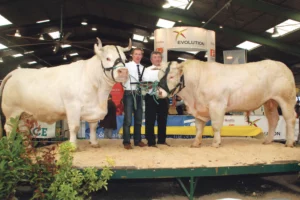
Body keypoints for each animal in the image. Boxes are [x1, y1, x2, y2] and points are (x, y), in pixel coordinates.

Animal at [0, 37, 131, 148]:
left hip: (25, 113)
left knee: (23, 130)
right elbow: (74, 127)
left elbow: (93, 127)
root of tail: (15, 72)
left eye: (125, 60)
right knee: (9, 128)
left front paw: (94, 143)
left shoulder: (93, 110)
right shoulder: (72, 106)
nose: (123, 71)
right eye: (108, 58)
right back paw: (10, 148)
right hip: (11, 111)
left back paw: (27, 148)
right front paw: (72, 146)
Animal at [158, 59, 296, 147]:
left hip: (286, 99)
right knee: (273, 119)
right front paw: (196, 143)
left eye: (171, 76)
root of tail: (282, 65)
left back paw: (289, 142)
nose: (159, 92)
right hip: (270, 102)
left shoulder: (217, 105)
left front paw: (216, 143)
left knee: (290, 119)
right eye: (159, 75)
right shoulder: (199, 108)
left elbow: (215, 126)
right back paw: (268, 141)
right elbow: (199, 127)